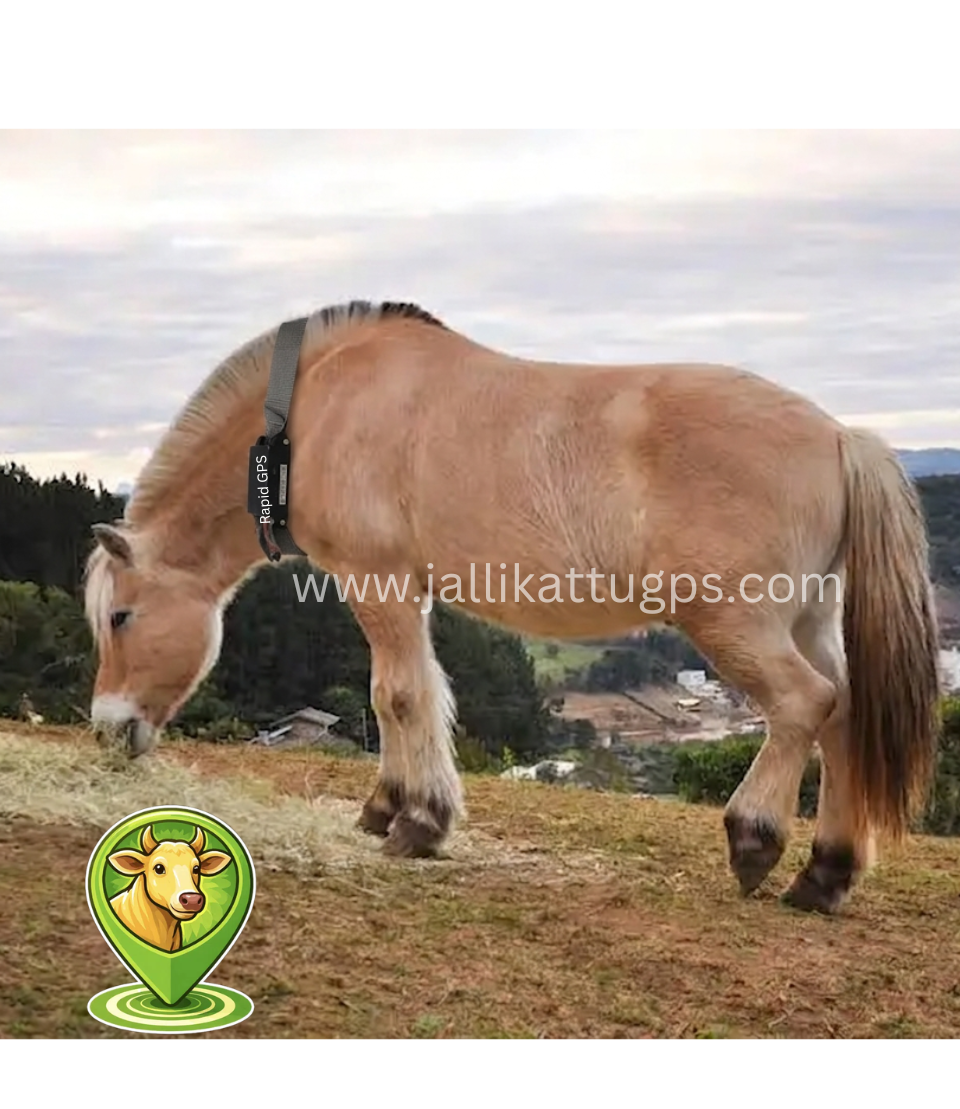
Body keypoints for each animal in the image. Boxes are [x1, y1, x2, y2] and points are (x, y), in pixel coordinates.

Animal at [83, 300, 940, 914]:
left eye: (121, 616)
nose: (107, 727)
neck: (318, 408)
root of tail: (840, 437)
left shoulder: (377, 580)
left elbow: (396, 693)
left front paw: (417, 822)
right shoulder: (409, 592)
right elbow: (414, 694)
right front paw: (389, 805)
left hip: (735, 620)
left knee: (804, 702)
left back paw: (755, 840)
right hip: (808, 616)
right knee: (845, 712)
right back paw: (824, 874)